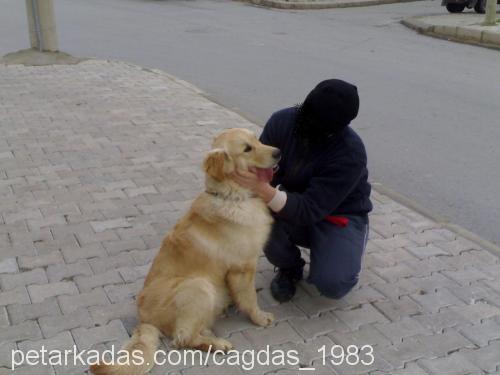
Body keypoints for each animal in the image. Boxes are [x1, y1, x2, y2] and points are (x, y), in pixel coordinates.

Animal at [91, 129, 282, 375]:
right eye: (247, 148)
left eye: (257, 140)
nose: (278, 152)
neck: (233, 196)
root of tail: (144, 321)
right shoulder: (242, 267)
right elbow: (250, 299)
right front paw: (260, 317)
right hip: (198, 286)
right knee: (183, 338)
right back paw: (217, 344)